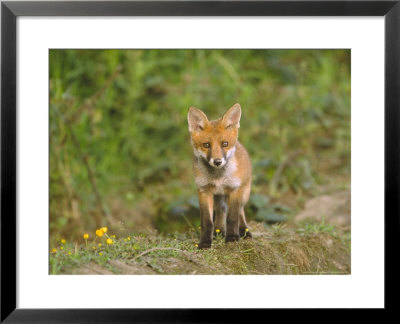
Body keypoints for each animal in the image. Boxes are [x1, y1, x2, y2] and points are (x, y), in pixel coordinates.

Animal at [188, 102, 253, 249]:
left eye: (225, 144)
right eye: (206, 145)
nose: (217, 161)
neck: (218, 178)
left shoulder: (235, 189)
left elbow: (233, 217)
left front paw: (233, 237)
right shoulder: (204, 190)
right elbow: (206, 222)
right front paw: (205, 242)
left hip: (244, 192)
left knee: (241, 211)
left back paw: (244, 231)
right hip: (219, 196)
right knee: (221, 210)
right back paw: (219, 231)